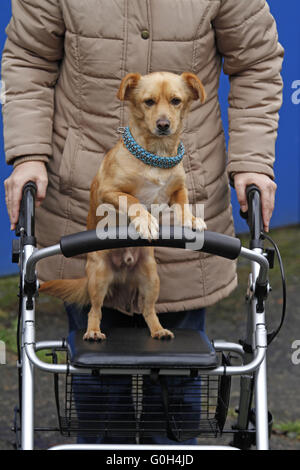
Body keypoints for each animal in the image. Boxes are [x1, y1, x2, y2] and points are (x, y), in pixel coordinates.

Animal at [39, 70, 207, 342]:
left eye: (176, 101)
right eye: (148, 102)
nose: (163, 124)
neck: (157, 156)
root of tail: (124, 270)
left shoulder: (177, 190)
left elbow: (184, 205)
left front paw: (191, 221)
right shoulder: (109, 191)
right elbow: (133, 200)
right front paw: (146, 222)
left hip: (150, 278)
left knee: (148, 310)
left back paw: (159, 330)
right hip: (98, 279)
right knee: (95, 310)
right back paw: (93, 332)